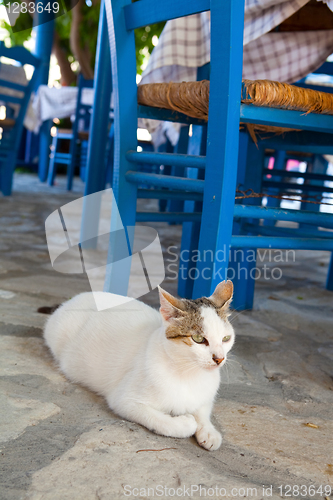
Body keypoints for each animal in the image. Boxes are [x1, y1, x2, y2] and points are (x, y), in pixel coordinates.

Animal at [44, 280, 235, 452]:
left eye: (226, 338)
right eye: (198, 339)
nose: (219, 359)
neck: (189, 373)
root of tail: (77, 297)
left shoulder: (205, 395)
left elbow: (203, 410)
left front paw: (209, 431)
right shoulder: (124, 400)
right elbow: (161, 421)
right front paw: (186, 422)